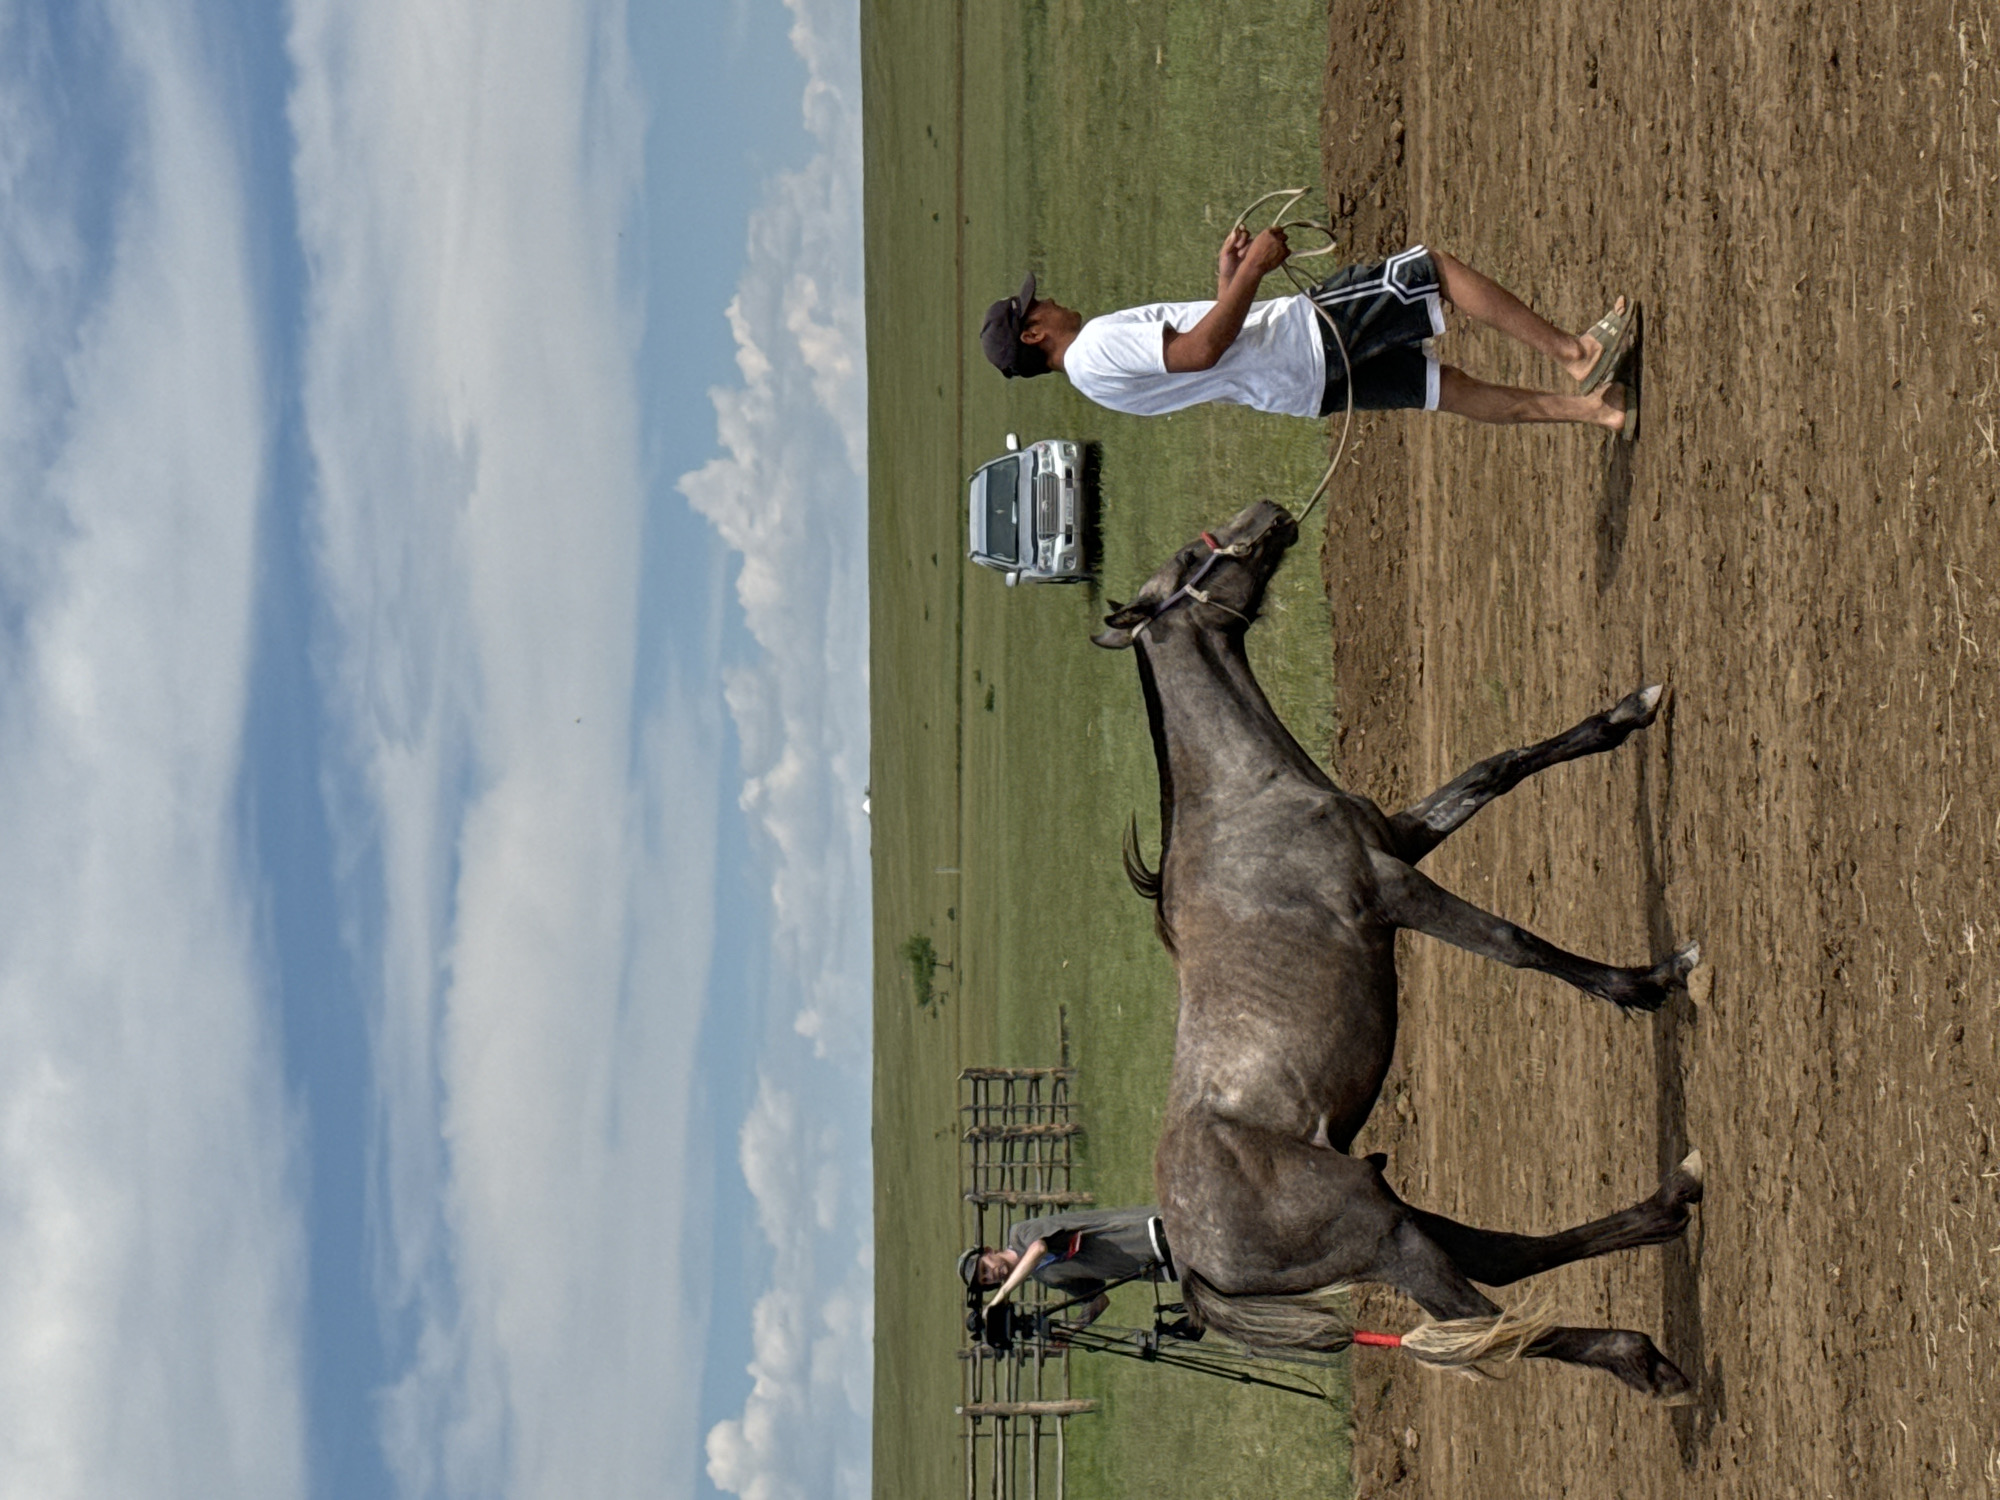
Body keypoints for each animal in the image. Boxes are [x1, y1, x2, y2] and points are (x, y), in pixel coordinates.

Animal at [1092, 498, 1703, 1399]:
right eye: (1186, 557)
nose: (1269, 512)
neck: (1246, 803)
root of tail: (1192, 1256)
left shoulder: (1403, 839)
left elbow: (1497, 769)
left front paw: (1628, 712)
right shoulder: (1392, 890)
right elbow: (1513, 942)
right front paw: (1647, 980)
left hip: (1390, 1206)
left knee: (1505, 1261)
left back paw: (1670, 1204)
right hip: (1387, 1240)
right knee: (1486, 1318)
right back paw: (1641, 1357)